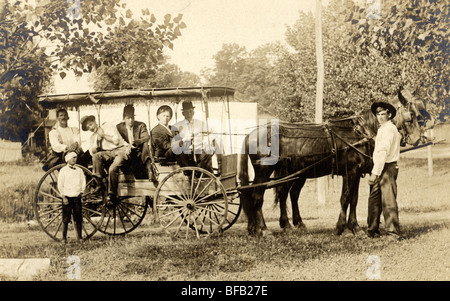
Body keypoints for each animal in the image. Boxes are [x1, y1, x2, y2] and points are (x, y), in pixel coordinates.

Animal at [239, 90, 428, 236]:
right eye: (412, 115)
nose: (417, 138)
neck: (360, 132)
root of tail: (252, 134)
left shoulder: (354, 173)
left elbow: (354, 199)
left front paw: (352, 226)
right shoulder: (351, 172)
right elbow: (346, 198)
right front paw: (343, 227)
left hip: (291, 173)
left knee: (286, 194)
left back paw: (283, 226)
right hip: (264, 172)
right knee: (257, 196)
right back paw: (263, 229)